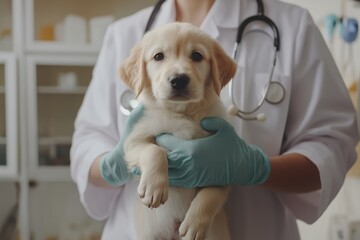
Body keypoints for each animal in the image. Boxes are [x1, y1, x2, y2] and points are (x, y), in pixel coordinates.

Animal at [121, 22, 238, 240]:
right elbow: (154, 151)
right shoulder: (134, 141)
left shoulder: (224, 166)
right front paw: (154, 187)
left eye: (197, 55)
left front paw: (195, 223)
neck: (181, 112)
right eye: (159, 56)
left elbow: (210, 195)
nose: (178, 79)